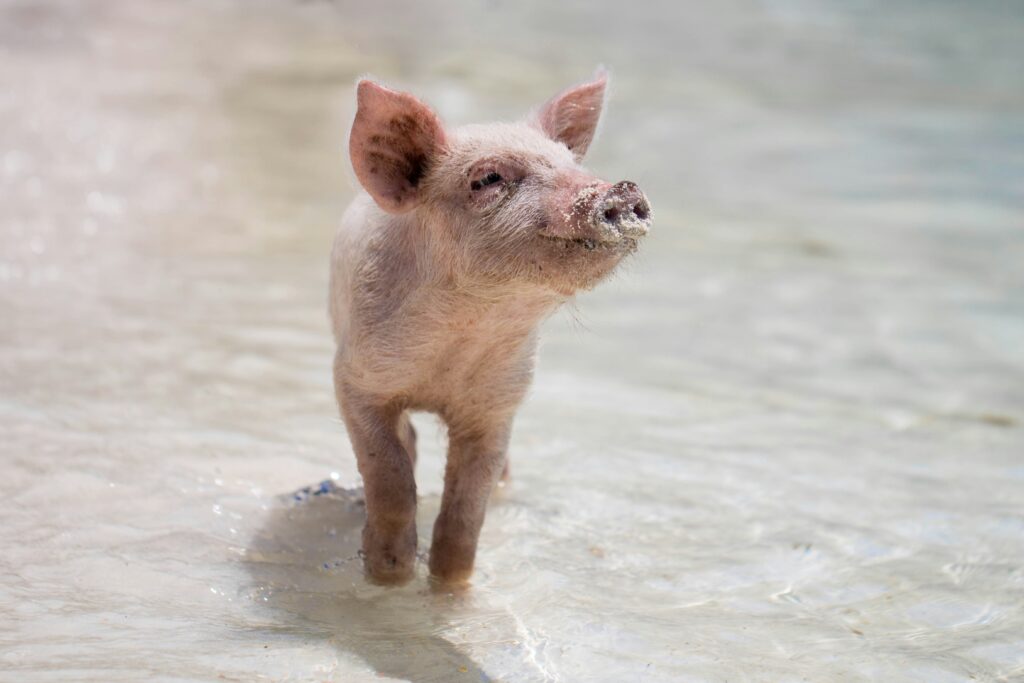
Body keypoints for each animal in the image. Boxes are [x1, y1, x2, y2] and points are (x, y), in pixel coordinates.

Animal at [329, 71, 651, 586]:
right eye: (487, 178)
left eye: (570, 164)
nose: (621, 189)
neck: (462, 337)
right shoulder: (355, 379)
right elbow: (390, 474)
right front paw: (389, 573)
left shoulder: (498, 404)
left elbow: (467, 506)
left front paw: (449, 584)